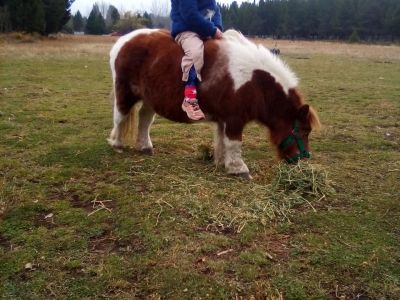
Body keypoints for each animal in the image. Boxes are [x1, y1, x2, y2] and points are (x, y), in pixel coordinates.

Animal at [106, 28, 318, 178]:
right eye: (304, 130)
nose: (302, 161)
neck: (254, 81)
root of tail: (124, 41)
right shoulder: (234, 119)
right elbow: (234, 143)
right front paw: (239, 169)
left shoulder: (224, 119)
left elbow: (223, 141)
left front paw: (223, 163)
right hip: (125, 93)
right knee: (119, 117)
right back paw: (117, 144)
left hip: (150, 98)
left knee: (144, 119)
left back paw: (145, 147)